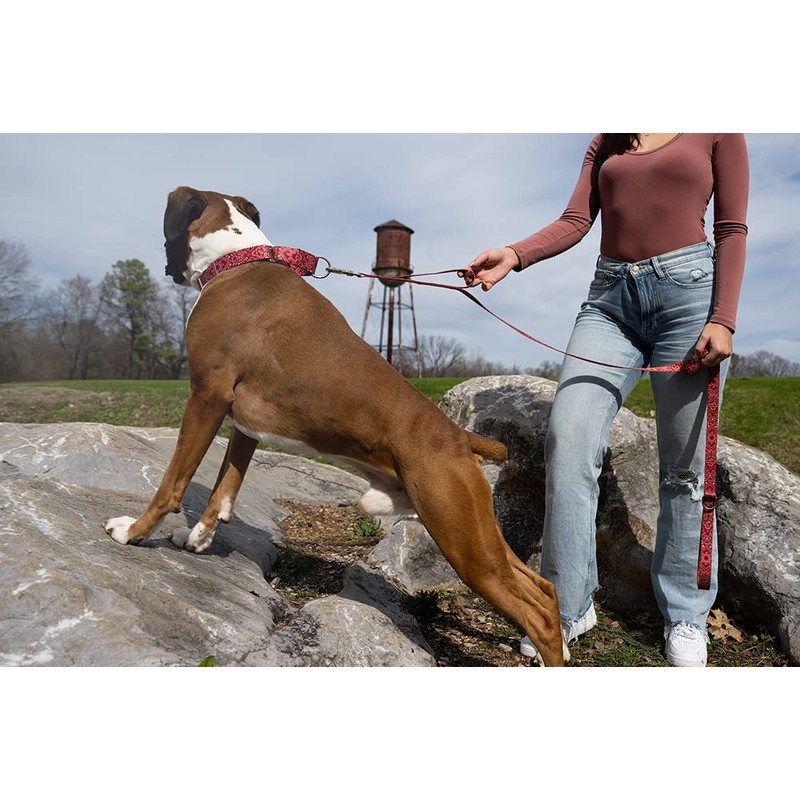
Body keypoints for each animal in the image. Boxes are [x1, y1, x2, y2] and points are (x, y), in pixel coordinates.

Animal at [104, 186, 565, 666]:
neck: (238, 258)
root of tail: (460, 436)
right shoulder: (243, 427)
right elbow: (224, 488)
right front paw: (196, 540)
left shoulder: (207, 397)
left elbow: (174, 479)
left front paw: (134, 532)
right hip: (479, 532)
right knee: (543, 590)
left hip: (464, 543)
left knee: (536, 614)